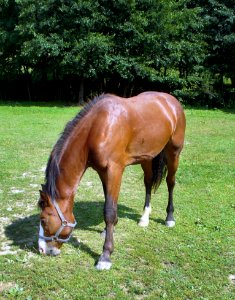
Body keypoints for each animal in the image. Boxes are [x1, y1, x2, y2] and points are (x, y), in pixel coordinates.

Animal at [38, 91, 185, 270]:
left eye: (43, 220)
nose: (42, 249)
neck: (97, 128)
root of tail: (171, 101)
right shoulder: (103, 172)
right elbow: (108, 203)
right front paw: (109, 229)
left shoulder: (114, 170)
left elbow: (109, 210)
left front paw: (105, 255)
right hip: (147, 158)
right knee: (148, 183)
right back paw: (144, 218)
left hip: (174, 152)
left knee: (171, 182)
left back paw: (169, 218)